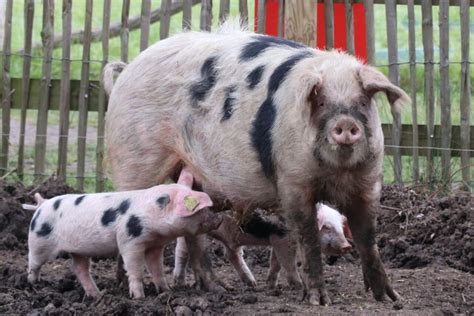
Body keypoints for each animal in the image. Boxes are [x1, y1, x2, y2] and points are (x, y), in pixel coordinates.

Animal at [173, 202, 352, 288]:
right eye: (327, 227)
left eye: (341, 227)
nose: (346, 246)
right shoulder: (282, 237)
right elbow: (288, 262)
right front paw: (299, 284)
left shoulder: (277, 241)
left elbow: (276, 263)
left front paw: (271, 285)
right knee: (182, 251)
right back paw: (180, 284)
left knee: (232, 254)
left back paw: (252, 284)